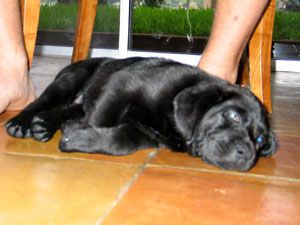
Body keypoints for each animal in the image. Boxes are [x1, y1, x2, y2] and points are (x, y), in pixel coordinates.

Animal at [5, 57, 278, 171]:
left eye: (260, 140)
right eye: (234, 117)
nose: (247, 154)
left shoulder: (142, 133)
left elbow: (119, 142)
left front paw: (82, 137)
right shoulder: (122, 83)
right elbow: (100, 119)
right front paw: (78, 133)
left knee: (68, 110)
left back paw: (45, 124)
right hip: (69, 80)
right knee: (43, 100)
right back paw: (22, 122)